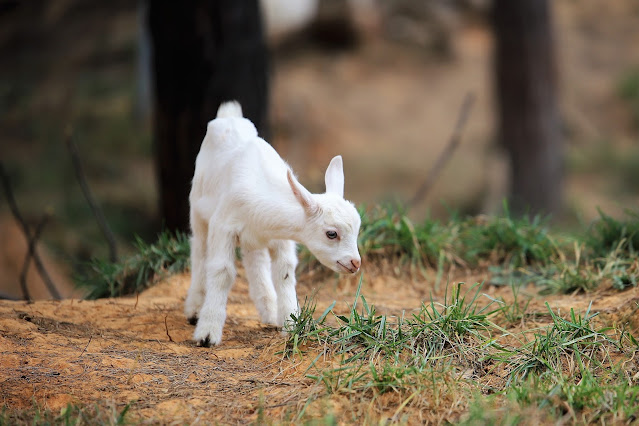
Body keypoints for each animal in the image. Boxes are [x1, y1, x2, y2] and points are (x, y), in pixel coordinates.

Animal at [188, 102, 362, 346]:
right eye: (331, 233)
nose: (355, 263)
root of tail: (229, 116)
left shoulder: (281, 237)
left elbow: (285, 271)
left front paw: (291, 325)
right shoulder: (222, 226)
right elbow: (222, 272)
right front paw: (207, 333)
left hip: (253, 239)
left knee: (256, 261)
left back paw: (269, 311)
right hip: (197, 209)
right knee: (199, 251)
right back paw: (194, 309)